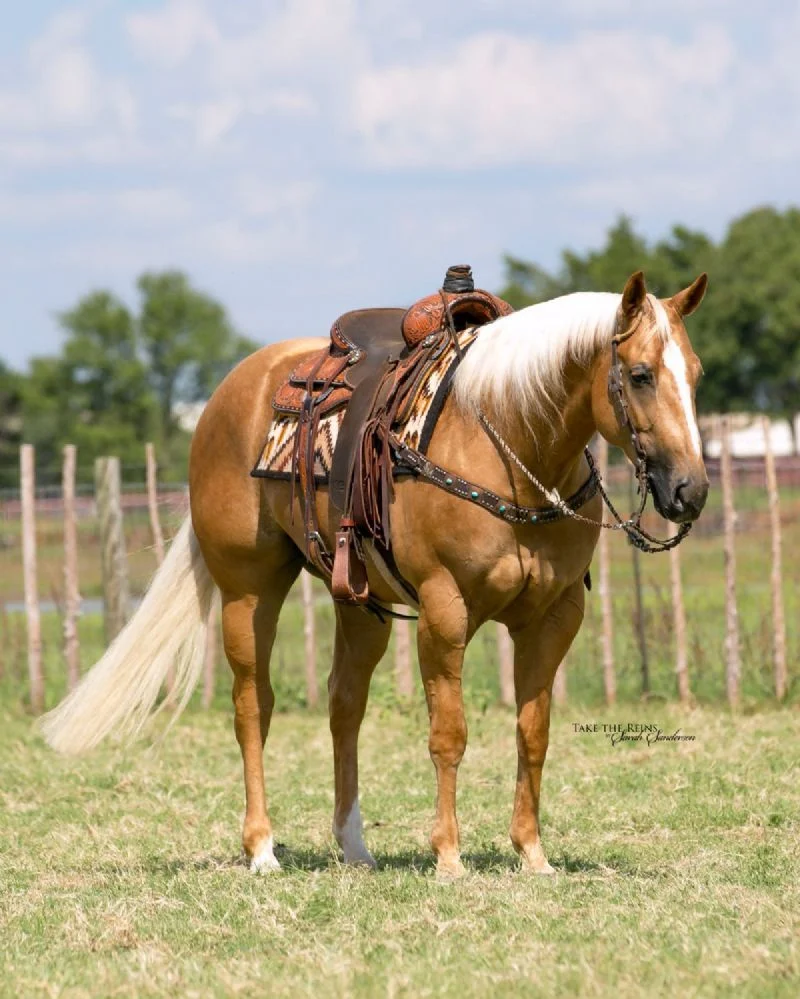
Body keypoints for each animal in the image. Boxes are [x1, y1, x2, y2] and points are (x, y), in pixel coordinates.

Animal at [41, 269, 709, 878]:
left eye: (696, 374)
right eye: (641, 375)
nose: (691, 491)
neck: (508, 444)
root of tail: (228, 392)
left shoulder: (556, 614)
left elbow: (533, 732)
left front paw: (532, 854)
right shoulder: (444, 610)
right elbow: (449, 734)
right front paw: (449, 858)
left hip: (357, 603)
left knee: (345, 705)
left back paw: (354, 847)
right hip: (248, 591)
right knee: (253, 705)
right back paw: (261, 850)